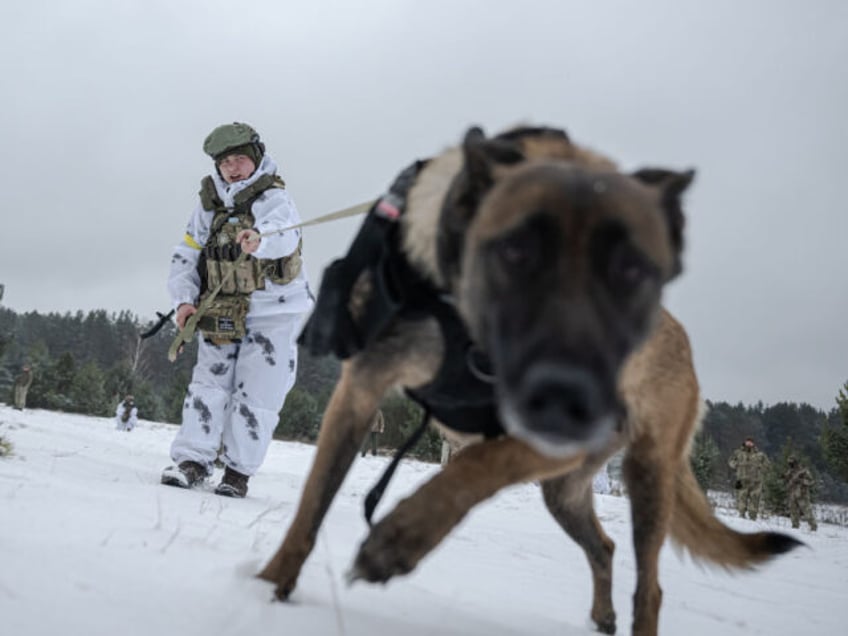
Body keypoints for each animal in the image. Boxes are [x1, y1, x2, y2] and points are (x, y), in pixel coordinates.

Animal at [256, 126, 796, 632]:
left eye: (633, 271)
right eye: (515, 252)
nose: (570, 393)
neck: (465, 324)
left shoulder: (538, 441)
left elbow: (474, 466)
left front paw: (401, 536)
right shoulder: (361, 389)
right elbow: (312, 505)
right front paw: (267, 587)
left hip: (646, 478)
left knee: (651, 589)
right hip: (566, 494)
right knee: (604, 546)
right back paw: (602, 614)